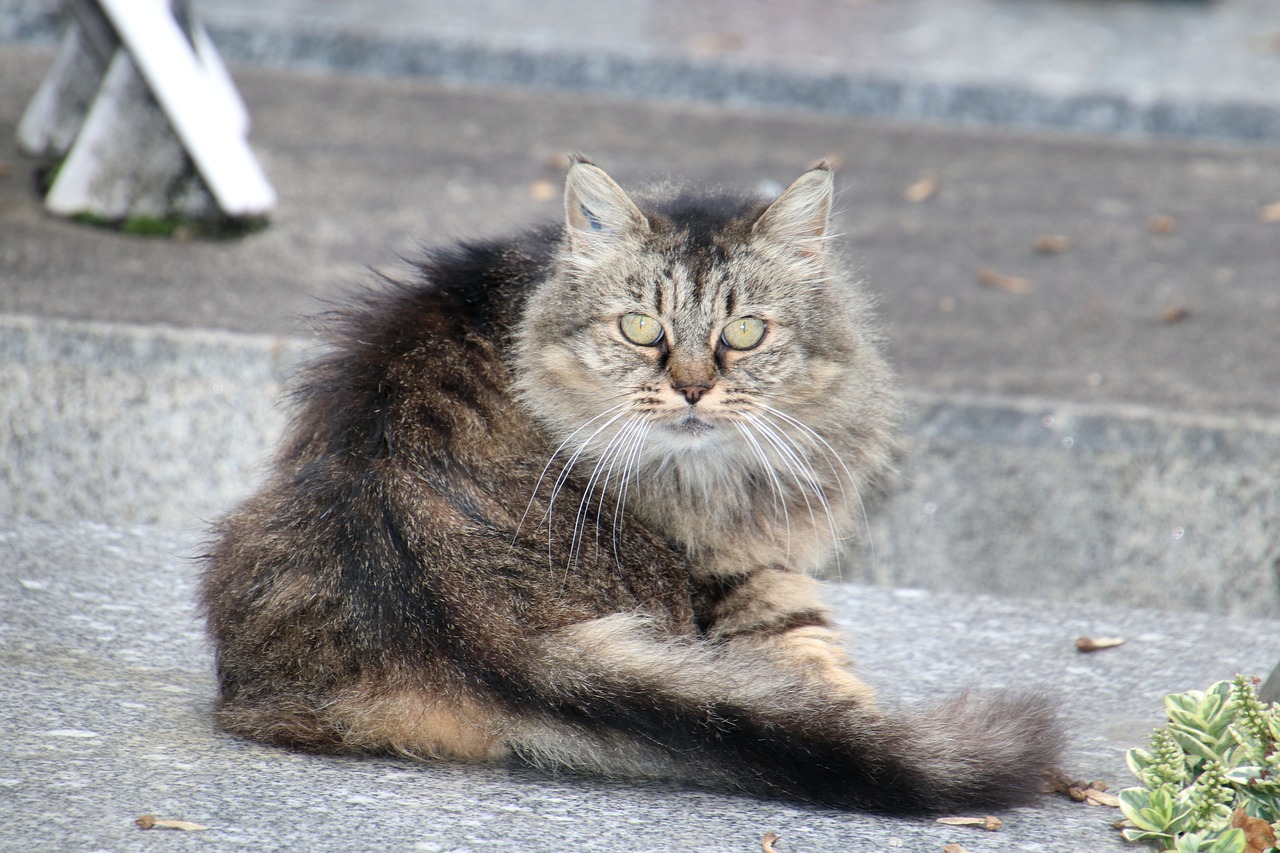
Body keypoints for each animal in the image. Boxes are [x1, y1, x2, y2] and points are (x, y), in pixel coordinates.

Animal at [199, 156, 1059, 814]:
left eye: (745, 332)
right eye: (642, 328)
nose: (692, 388)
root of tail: (445, 598)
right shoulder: (745, 567)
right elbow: (823, 674)